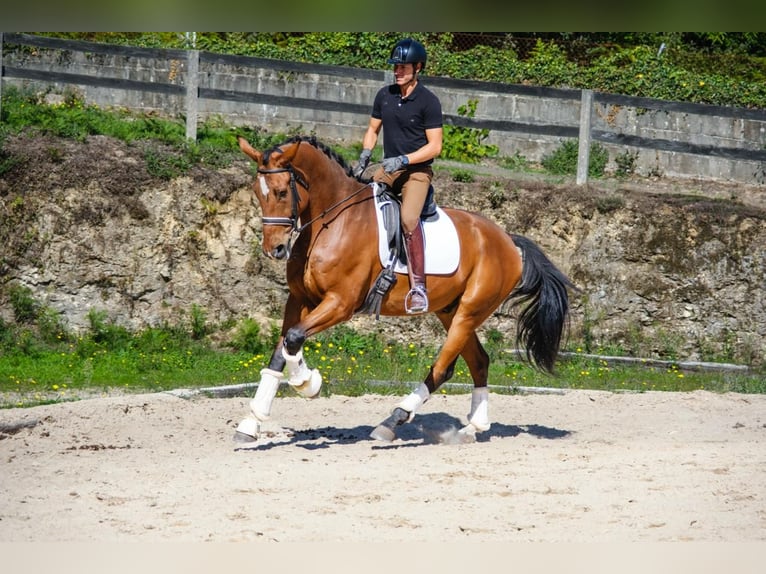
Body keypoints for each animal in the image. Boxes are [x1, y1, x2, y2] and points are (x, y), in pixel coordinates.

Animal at [234, 134, 575, 443]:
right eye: (257, 193)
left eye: (281, 192)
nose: (274, 250)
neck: (331, 221)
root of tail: (507, 240)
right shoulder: (299, 299)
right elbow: (281, 350)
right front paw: (251, 422)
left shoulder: (341, 303)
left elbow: (293, 338)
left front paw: (308, 383)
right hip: (450, 311)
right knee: (478, 361)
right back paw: (470, 429)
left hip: (469, 311)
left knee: (443, 368)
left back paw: (393, 420)